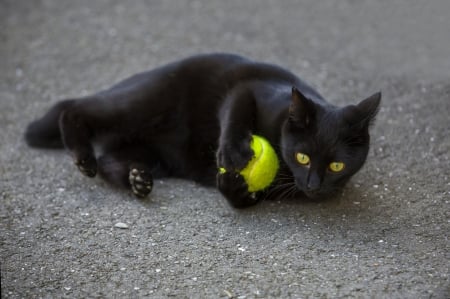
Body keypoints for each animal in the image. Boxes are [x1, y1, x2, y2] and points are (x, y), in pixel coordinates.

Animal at [24, 53, 380, 209]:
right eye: (303, 157)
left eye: (336, 166)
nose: (314, 186)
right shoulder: (248, 88)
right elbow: (235, 113)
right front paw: (233, 156)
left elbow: (244, 200)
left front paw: (233, 184)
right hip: (139, 104)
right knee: (77, 109)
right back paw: (82, 156)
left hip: (151, 154)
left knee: (110, 160)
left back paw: (137, 180)